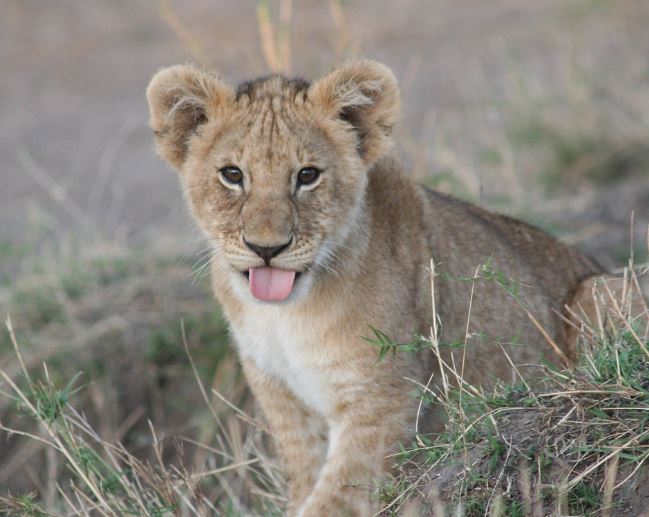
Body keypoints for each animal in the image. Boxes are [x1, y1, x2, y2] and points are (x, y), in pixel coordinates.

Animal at [146, 60, 604, 516]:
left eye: (307, 176)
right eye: (232, 175)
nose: (267, 248)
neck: (283, 318)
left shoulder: (385, 401)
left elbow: (334, 499)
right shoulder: (285, 402)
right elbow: (305, 483)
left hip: (593, 294)